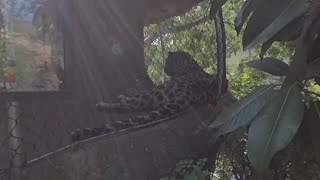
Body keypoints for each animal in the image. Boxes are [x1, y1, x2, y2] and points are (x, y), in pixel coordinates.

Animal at [71, 50, 229, 142]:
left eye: (168, 62)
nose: (165, 69)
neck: (191, 66)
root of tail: (189, 96)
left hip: (157, 92)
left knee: (130, 104)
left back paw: (112, 101)